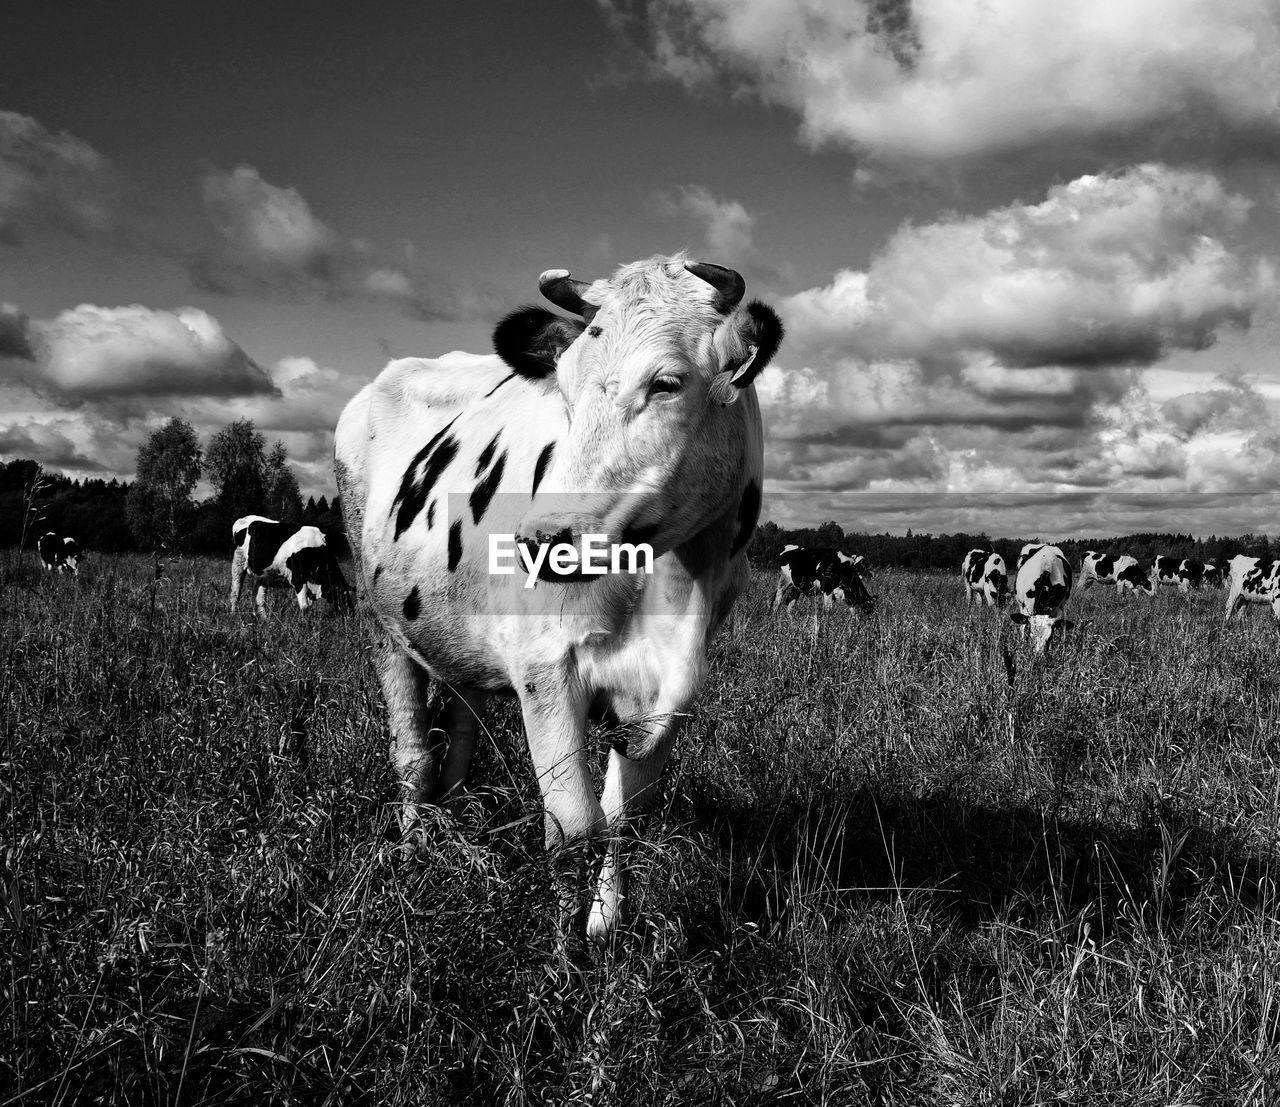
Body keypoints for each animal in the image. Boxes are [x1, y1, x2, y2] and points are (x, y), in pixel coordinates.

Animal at [335, 252, 783, 941]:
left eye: (667, 382)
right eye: (565, 391)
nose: (541, 540)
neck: (680, 590)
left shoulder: (662, 694)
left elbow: (621, 818)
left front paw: (602, 922)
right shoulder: (545, 667)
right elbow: (574, 826)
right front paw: (561, 944)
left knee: (458, 733)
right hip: (381, 624)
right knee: (412, 754)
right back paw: (412, 855)